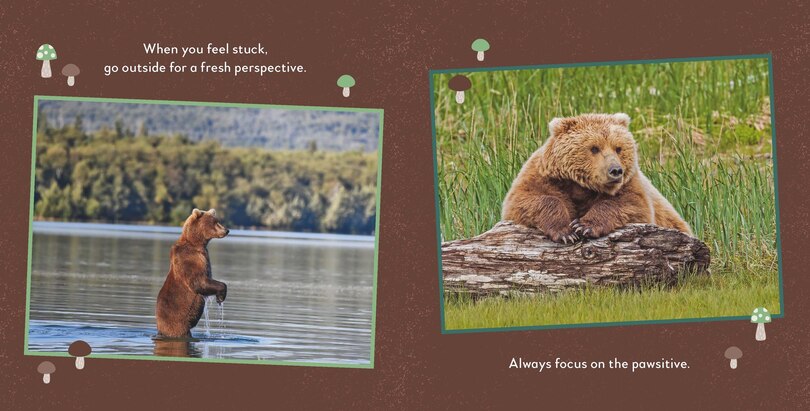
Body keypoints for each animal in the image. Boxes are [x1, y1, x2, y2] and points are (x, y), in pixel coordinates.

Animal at [156, 208, 229, 338]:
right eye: (215, 222)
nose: (226, 230)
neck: (196, 243)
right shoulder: (190, 260)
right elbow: (199, 282)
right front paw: (220, 296)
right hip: (177, 324)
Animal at [501, 113, 691, 244]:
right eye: (594, 148)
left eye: (618, 148)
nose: (616, 170)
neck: (581, 187)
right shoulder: (543, 177)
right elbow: (525, 199)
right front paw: (566, 233)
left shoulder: (631, 184)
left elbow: (631, 205)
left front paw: (584, 226)